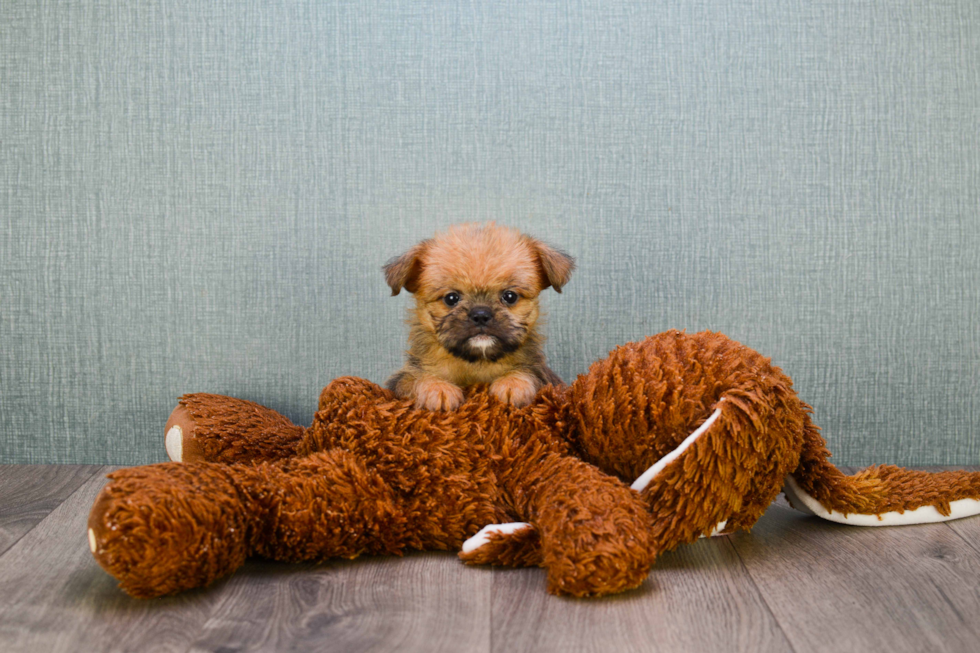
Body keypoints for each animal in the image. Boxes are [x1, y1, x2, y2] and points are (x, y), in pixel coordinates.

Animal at [382, 222, 576, 410]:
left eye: (510, 296)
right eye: (451, 298)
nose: (481, 314)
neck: (477, 363)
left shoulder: (544, 376)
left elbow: (528, 374)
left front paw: (513, 384)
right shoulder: (402, 378)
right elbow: (417, 378)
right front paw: (437, 389)